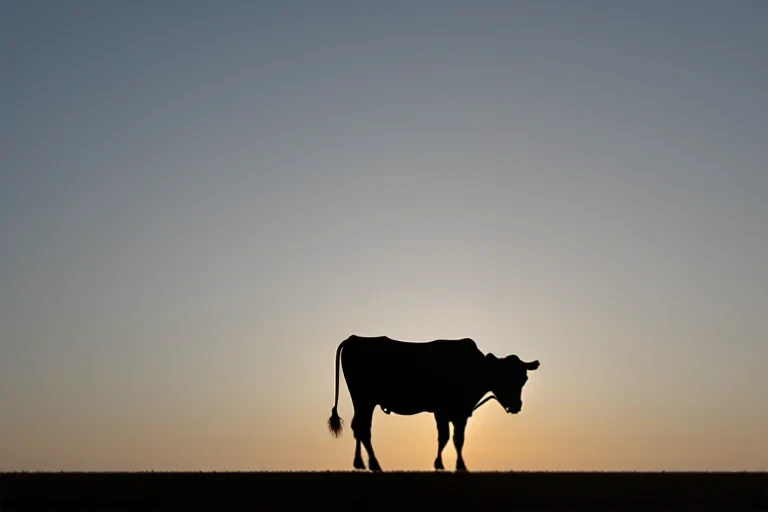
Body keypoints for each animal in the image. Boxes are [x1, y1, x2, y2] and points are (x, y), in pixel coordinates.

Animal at [327, 334, 540, 472]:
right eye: (502, 375)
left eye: (524, 379)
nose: (515, 406)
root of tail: (354, 338)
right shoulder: (443, 410)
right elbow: (446, 437)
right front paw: (444, 464)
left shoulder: (460, 412)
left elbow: (457, 438)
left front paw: (456, 465)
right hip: (365, 400)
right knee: (363, 429)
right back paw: (374, 464)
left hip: (362, 402)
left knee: (357, 427)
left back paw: (359, 463)